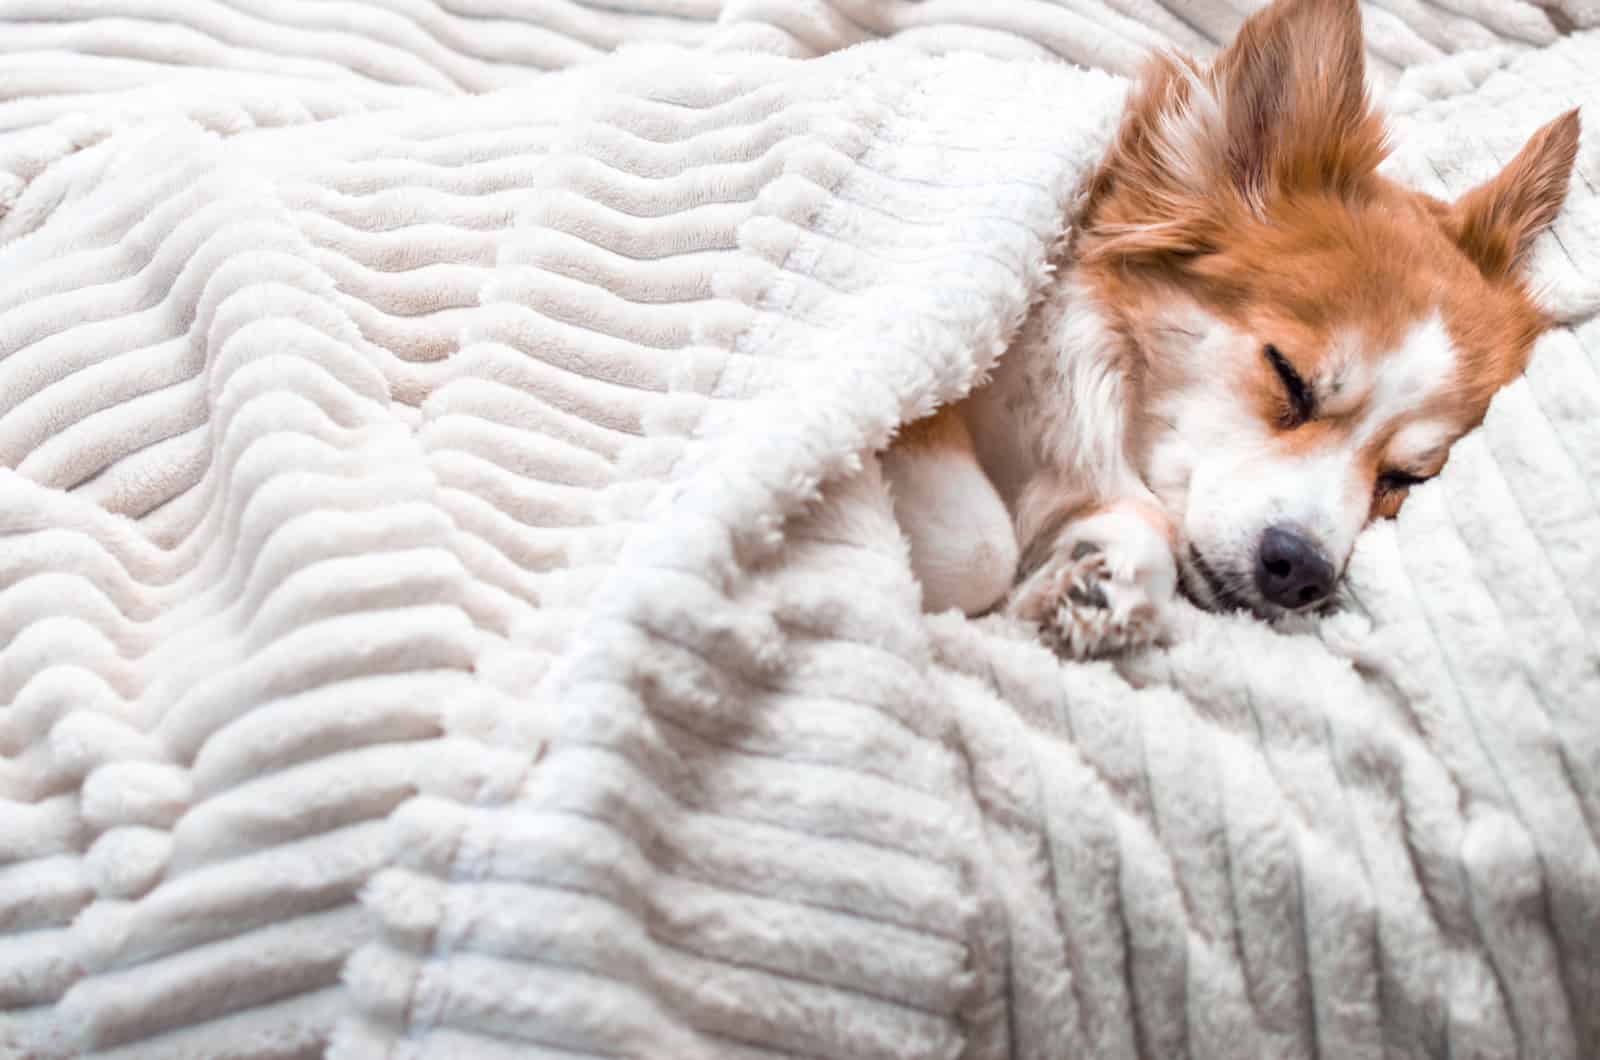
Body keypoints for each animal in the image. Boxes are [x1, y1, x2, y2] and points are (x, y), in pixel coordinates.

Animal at [883, 0, 1580, 659]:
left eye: (1406, 479)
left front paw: (1103, 579)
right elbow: (981, 548)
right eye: (1288, 377)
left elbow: (1138, 529)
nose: (1304, 571)